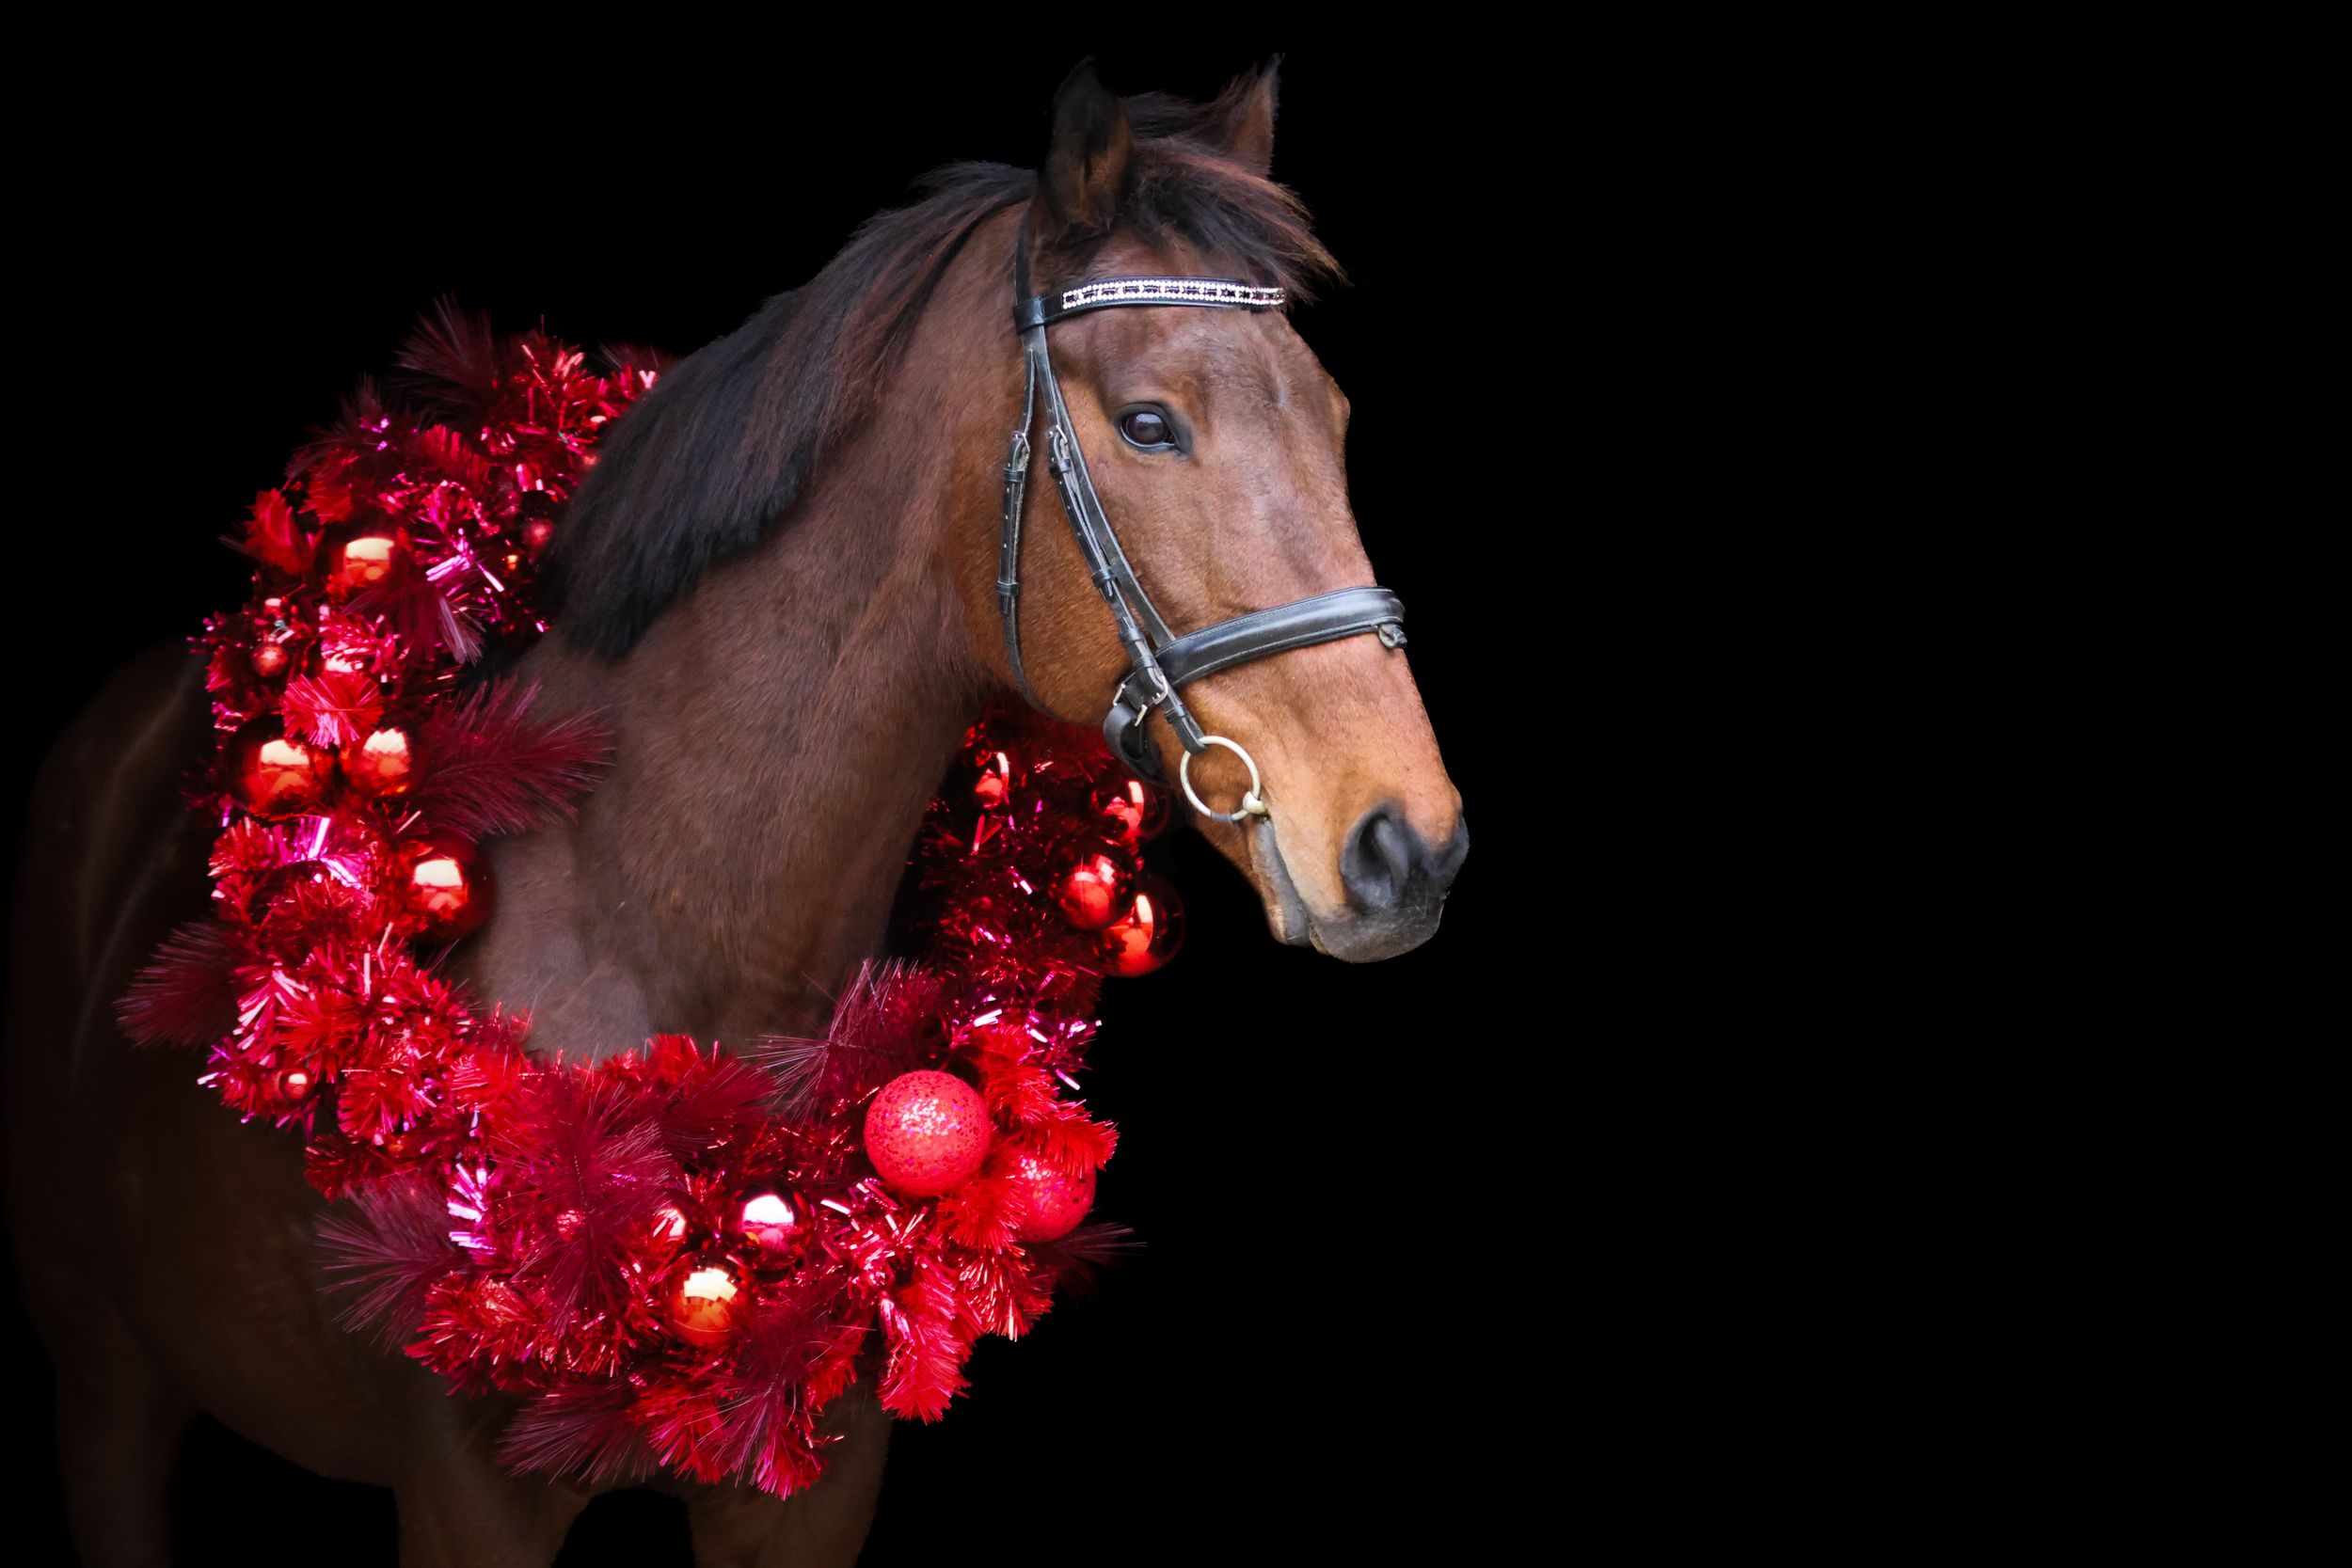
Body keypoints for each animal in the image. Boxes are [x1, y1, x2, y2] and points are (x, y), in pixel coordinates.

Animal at [4, 59, 1467, 1567]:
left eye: (1334, 417)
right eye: (1149, 422)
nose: (1405, 843)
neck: (648, 919)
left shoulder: (811, 1495)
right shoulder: (464, 1496)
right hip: (104, 1382)